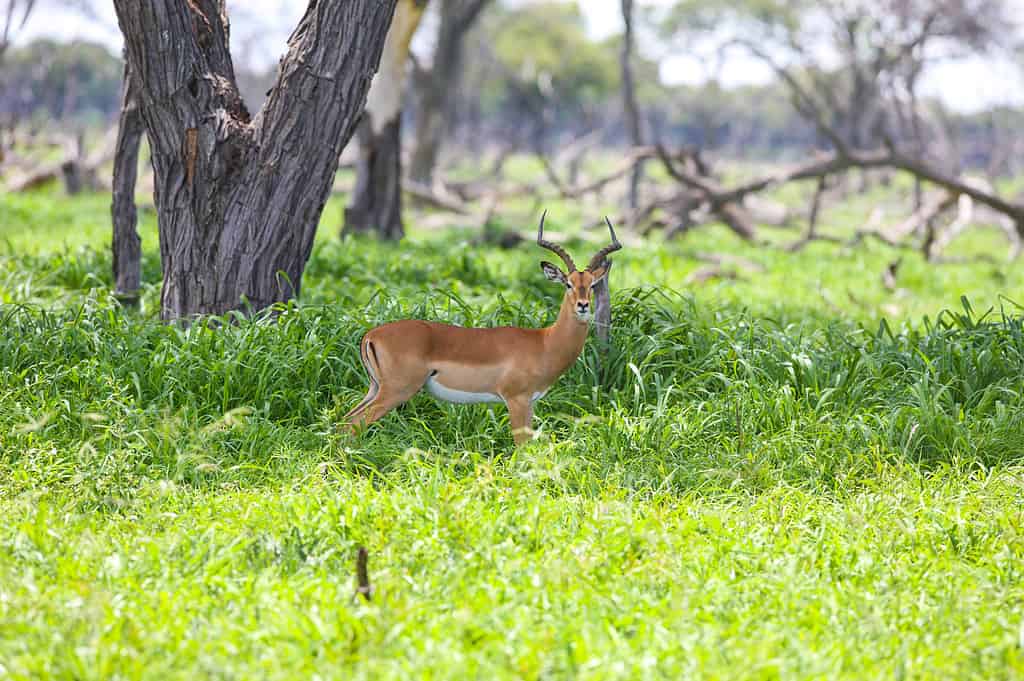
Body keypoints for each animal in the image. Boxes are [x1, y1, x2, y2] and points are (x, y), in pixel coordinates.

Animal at [344, 212, 622, 444]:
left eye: (592, 284)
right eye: (568, 284)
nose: (583, 305)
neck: (544, 343)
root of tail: (370, 335)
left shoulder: (530, 402)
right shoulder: (516, 399)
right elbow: (522, 447)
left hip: (375, 388)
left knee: (345, 420)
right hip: (396, 391)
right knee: (354, 423)